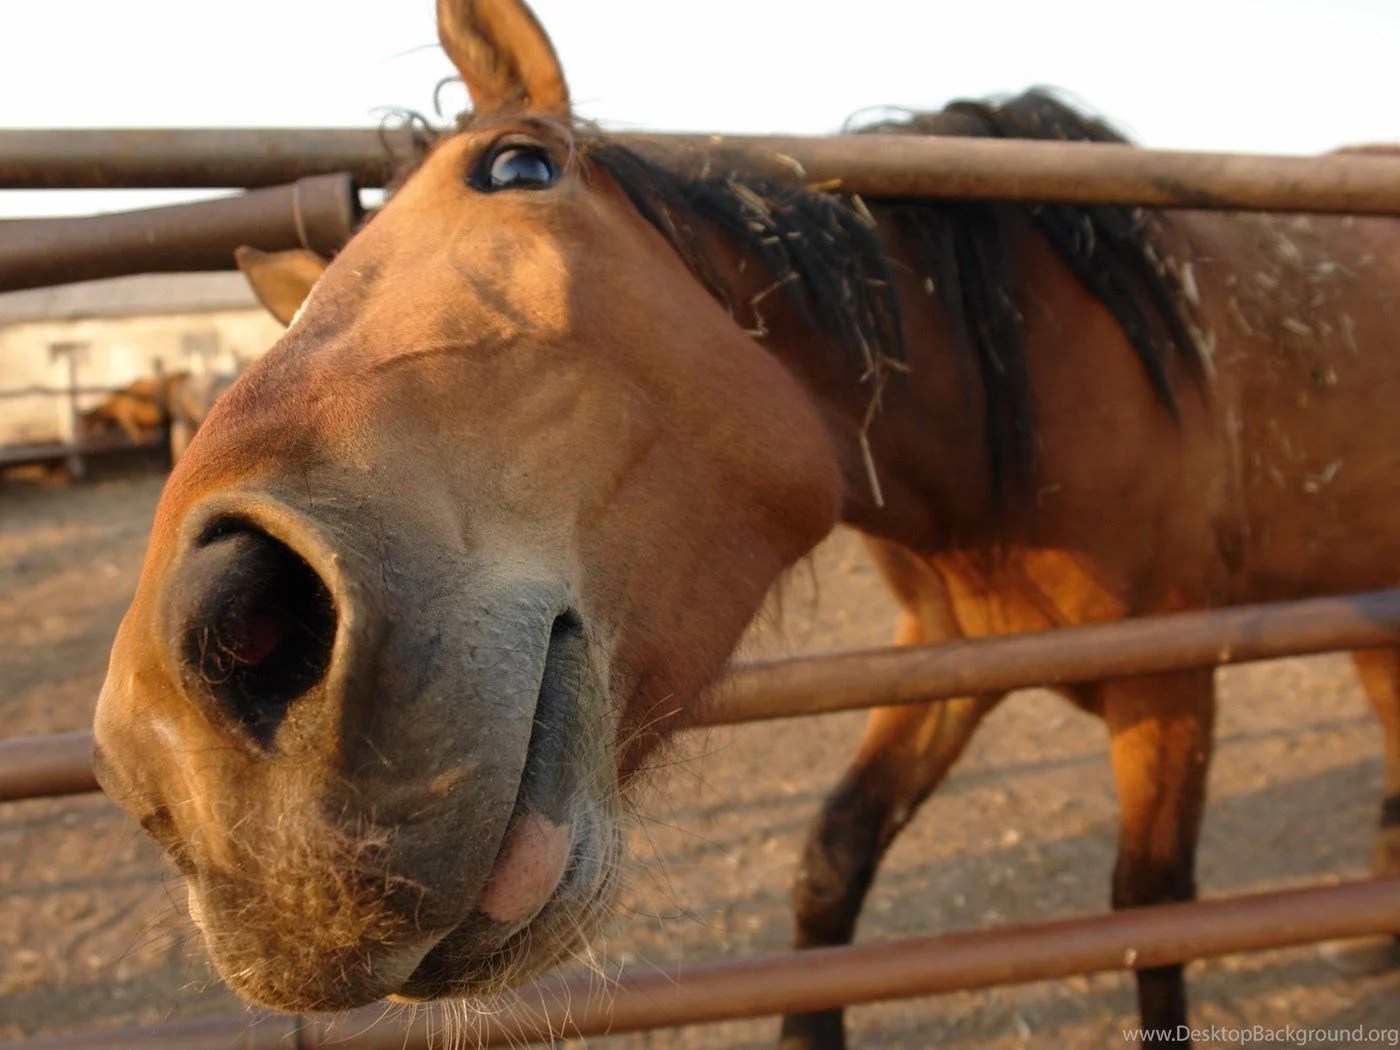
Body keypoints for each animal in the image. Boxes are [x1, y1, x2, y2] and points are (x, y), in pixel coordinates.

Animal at [90, 1, 1400, 1046]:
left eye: (517, 167)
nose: (176, 725)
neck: (1019, 385)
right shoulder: (950, 652)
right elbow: (829, 863)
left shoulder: (1167, 678)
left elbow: (1150, 916)